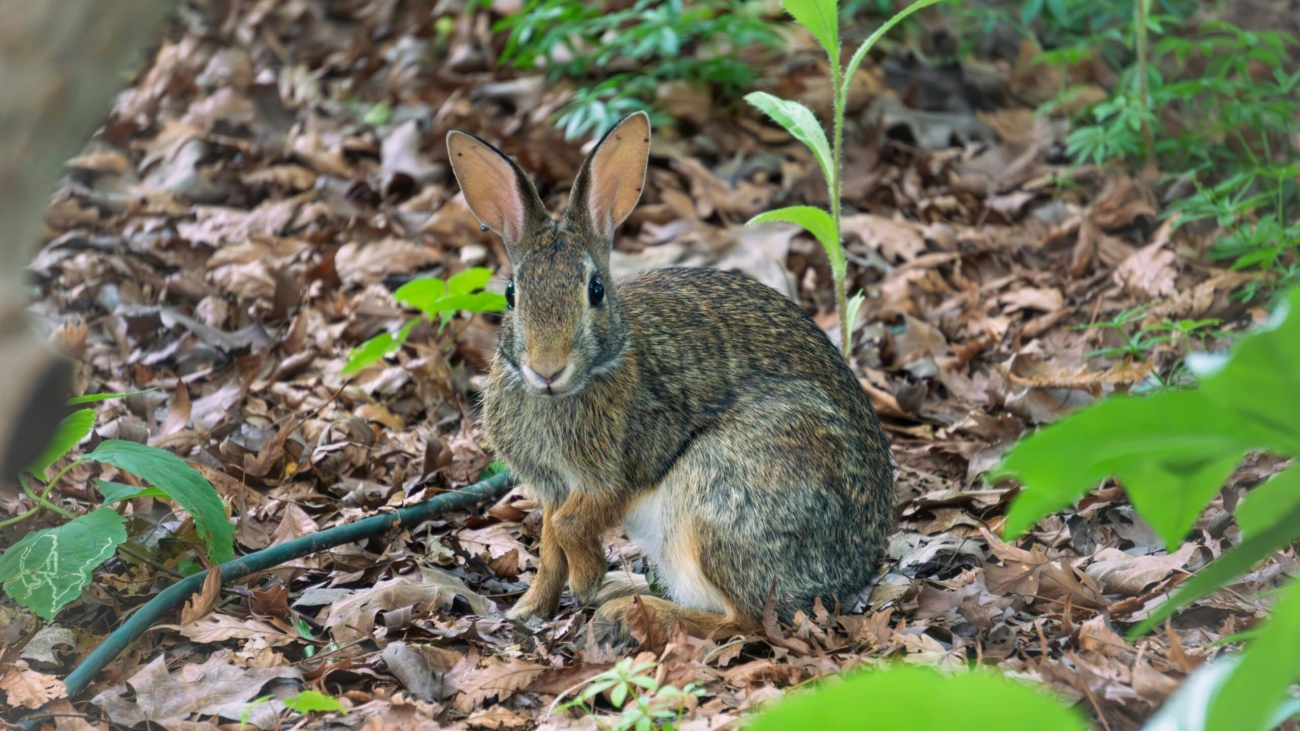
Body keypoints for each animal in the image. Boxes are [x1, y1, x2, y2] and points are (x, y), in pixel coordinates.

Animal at [447, 111, 894, 639]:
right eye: (511, 294)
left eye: (595, 289)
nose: (547, 369)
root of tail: (848, 576)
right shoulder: (554, 487)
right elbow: (550, 539)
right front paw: (530, 608)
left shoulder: (617, 473)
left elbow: (570, 526)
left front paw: (586, 579)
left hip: (718, 498)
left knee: (746, 620)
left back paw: (626, 609)